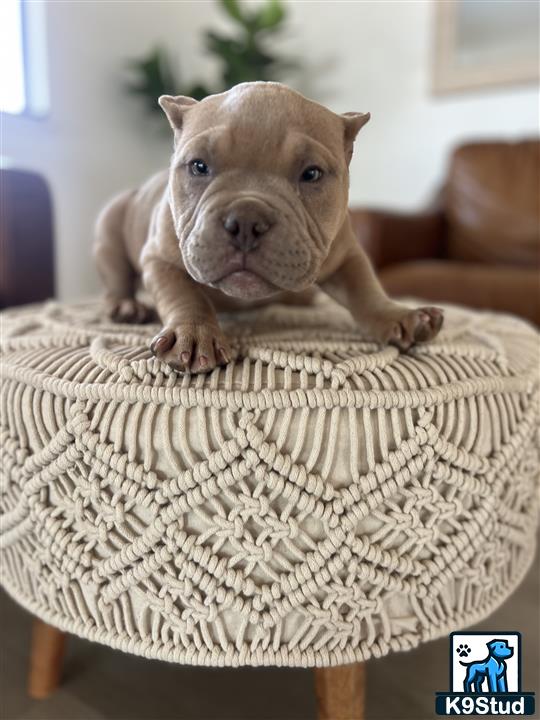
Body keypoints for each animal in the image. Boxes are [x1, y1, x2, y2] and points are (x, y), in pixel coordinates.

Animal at [94, 81, 442, 372]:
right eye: (198, 166)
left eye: (312, 174)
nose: (246, 220)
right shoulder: (159, 258)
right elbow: (182, 294)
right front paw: (194, 334)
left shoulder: (346, 255)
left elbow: (366, 289)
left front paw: (399, 315)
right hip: (109, 230)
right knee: (116, 280)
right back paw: (127, 308)